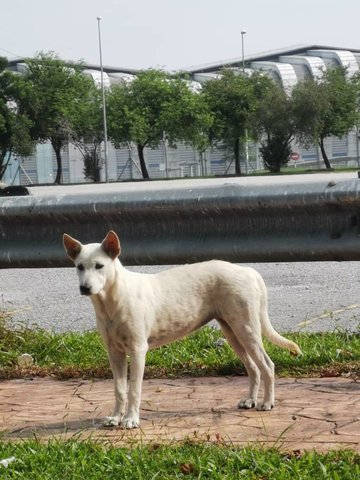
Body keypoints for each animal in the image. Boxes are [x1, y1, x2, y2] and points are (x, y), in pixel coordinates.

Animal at [62, 231, 300, 430]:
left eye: (99, 266)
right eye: (79, 266)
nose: (84, 288)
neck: (113, 299)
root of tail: (248, 270)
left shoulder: (138, 350)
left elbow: (134, 389)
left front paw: (130, 419)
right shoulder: (115, 352)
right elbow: (119, 389)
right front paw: (115, 418)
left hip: (247, 329)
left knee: (267, 365)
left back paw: (267, 402)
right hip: (232, 331)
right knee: (253, 368)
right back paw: (250, 400)